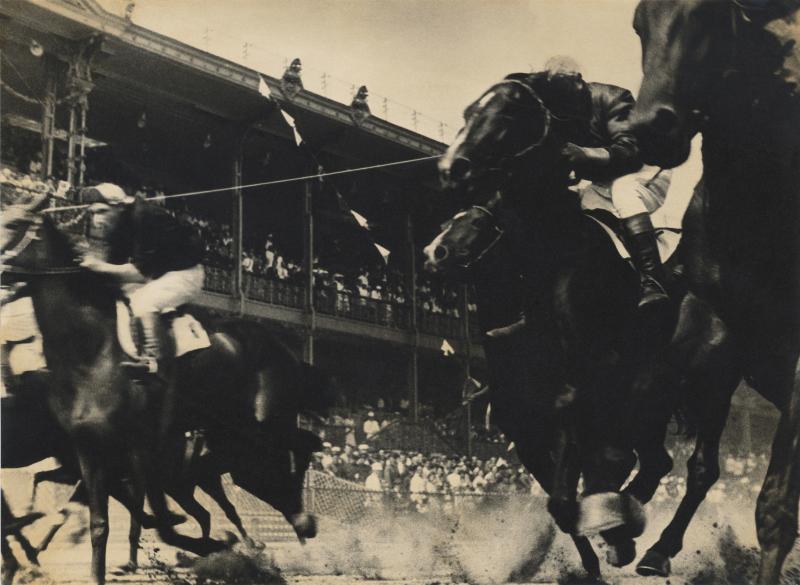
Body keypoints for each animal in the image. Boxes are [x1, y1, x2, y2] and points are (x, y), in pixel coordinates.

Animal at [628, 2, 796, 580]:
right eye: (639, 22)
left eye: (712, 14)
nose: (653, 128)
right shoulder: (714, 328)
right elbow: (698, 464)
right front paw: (649, 539)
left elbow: (775, 506)